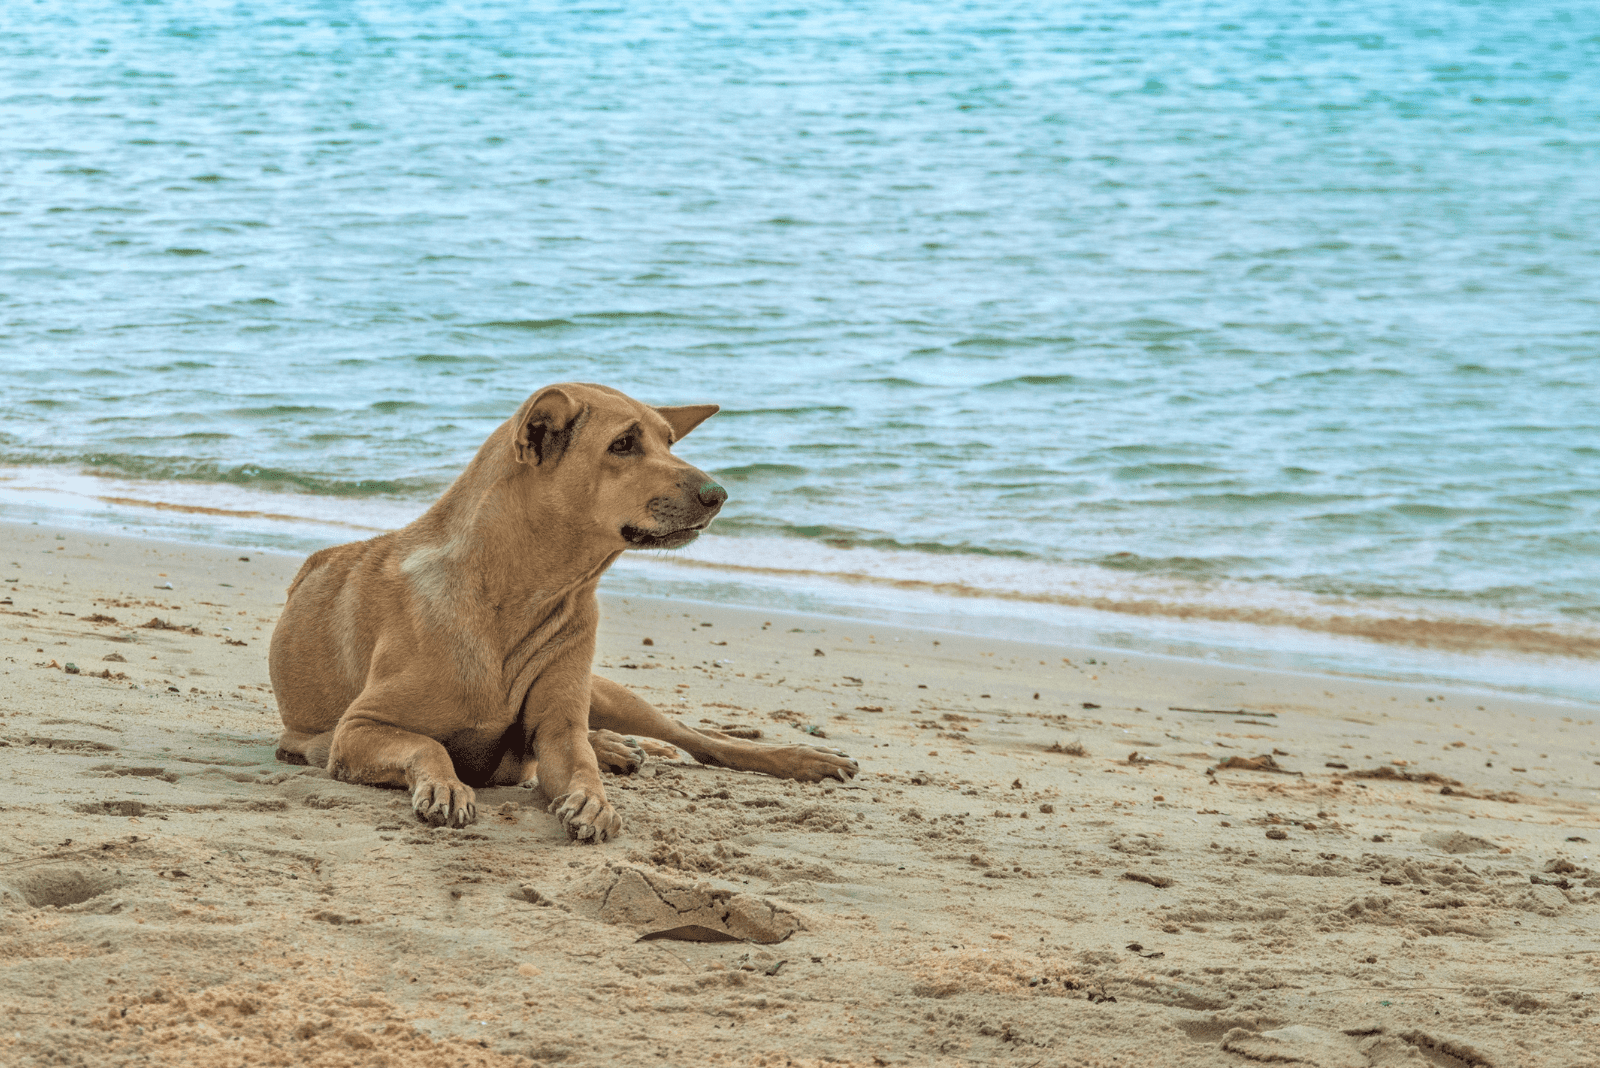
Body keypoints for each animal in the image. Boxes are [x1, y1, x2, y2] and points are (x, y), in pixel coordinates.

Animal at [268, 383, 864, 844]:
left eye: (669, 442)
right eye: (623, 444)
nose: (718, 495)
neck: (527, 592)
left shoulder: (558, 730)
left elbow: (578, 764)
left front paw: (594, 799)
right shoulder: (358, 730)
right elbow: (428, 744)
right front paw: (445, 785)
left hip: (609, 693)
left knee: (701, 740)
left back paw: (800, 759)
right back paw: (618, 748)